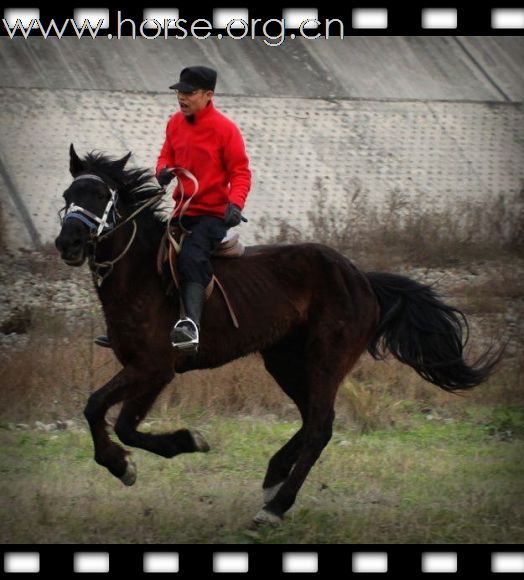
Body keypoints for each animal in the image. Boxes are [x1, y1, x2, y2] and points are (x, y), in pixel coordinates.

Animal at [54, 145, 500, 524]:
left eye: (101, 195)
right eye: (68, 193)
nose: (68, 243)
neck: (142, 275)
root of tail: (362, 279)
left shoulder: (155, 368)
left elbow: (113, 417)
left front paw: (167, 448)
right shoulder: (140, 368)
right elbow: (101, 412)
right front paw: (125, 462)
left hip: (325, 359)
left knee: (320, 427)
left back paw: (276, 506)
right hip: (286, 362)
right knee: (316, 419)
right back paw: (273, 479)